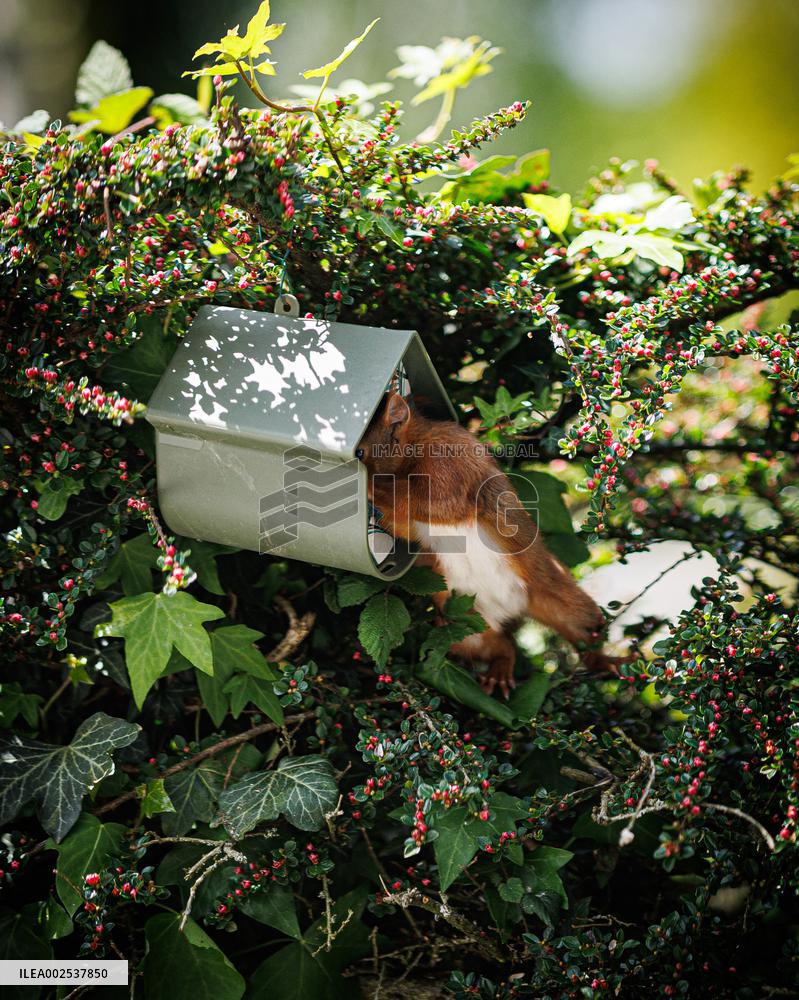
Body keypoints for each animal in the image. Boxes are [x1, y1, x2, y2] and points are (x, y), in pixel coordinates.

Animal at [357, 392, 621, 697]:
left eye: (359, 452)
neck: (415, 444)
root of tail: (513, 609)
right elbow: (406, 525)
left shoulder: (448, 464)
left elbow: (436, 501)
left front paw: (370, 486)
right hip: (466, 627)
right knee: (502, 647)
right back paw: (499, 672)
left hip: (564, 599)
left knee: (584, 634)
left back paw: (607, 661)